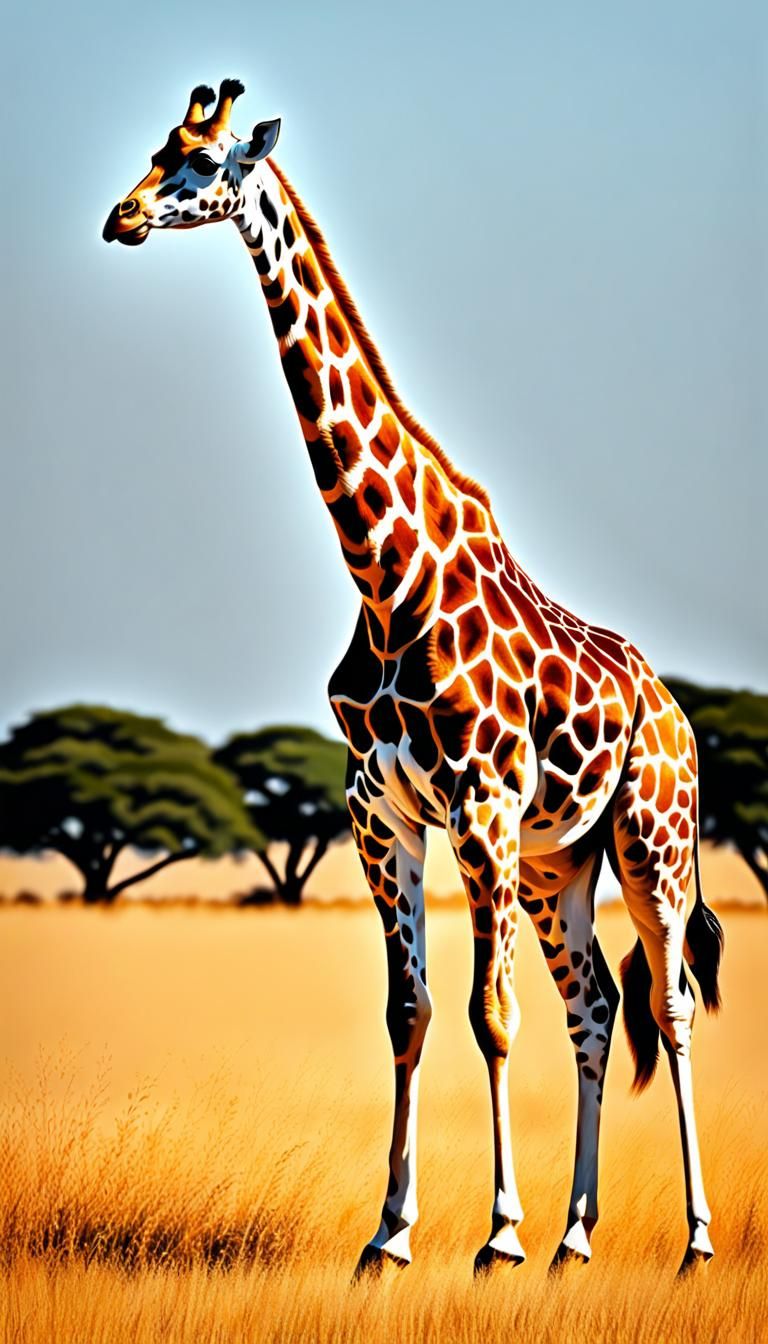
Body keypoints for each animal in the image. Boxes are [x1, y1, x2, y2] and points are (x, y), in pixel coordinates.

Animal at [103, 80, 724, 1276]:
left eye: (205, 162)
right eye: (159, 147)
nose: (123, 216)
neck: (386, 572)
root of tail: (677, 715)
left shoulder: (478, 807)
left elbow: (490, 1015)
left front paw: (496, 1237)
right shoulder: (379, 810)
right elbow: (413, 1012)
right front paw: (390, 1238)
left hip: (651, 843)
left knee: (668, 1006)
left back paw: (691, 1243)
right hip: (558, 861)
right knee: (593, 1006)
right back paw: (579, 1239)